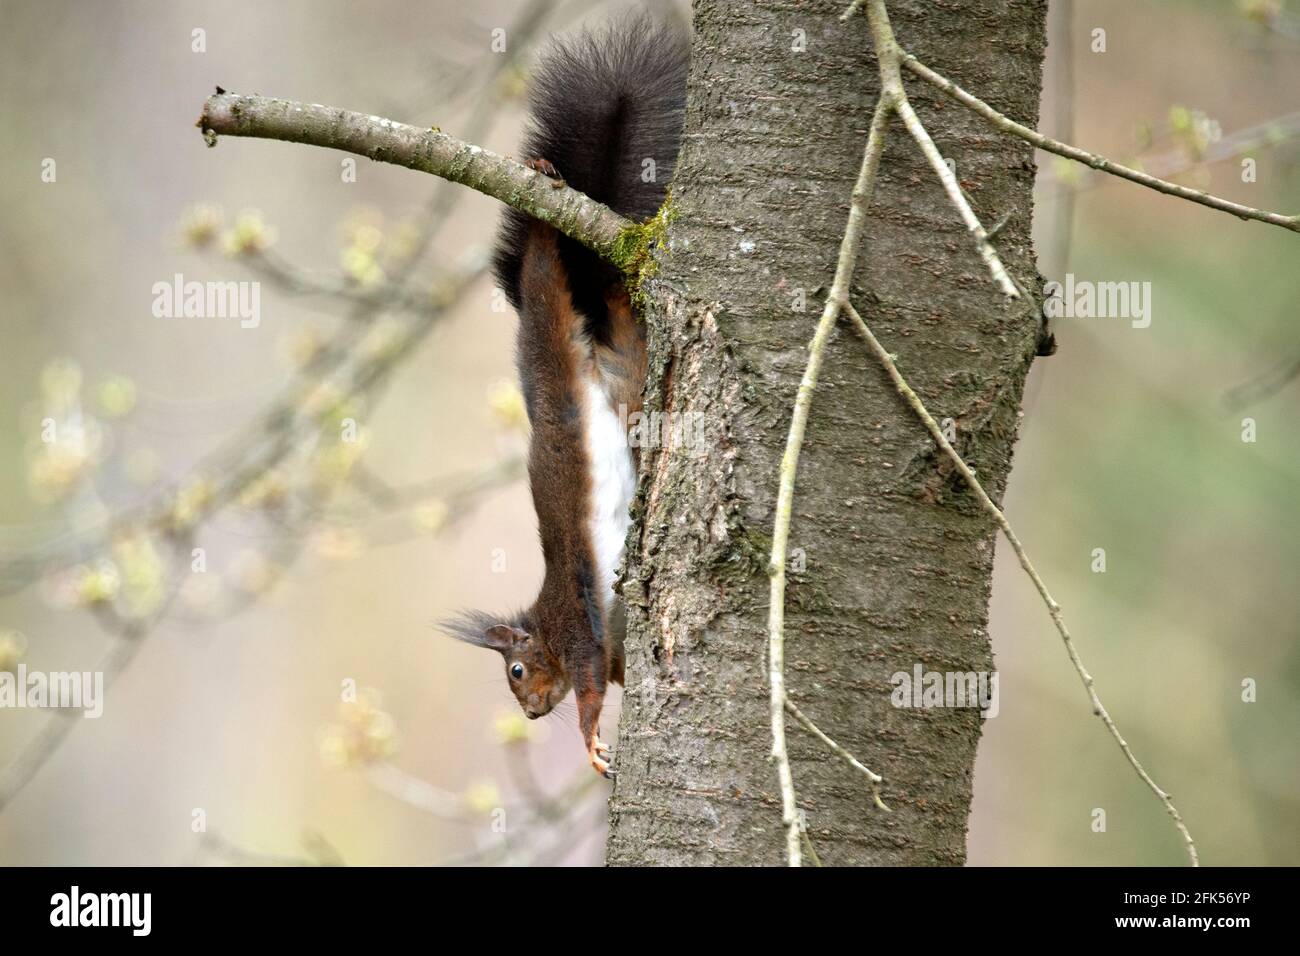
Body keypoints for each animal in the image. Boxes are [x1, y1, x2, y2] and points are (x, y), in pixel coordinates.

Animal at [447, 19, 688, 778]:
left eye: (517, 672)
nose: (527, 714)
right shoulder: (607, 641)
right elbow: (611, 675)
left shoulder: (575, 631)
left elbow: (585, 689)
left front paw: (588, 745)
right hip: (627, 368)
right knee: (621, 313)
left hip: (555, 314)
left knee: (547, 263)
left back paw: (549, 190)